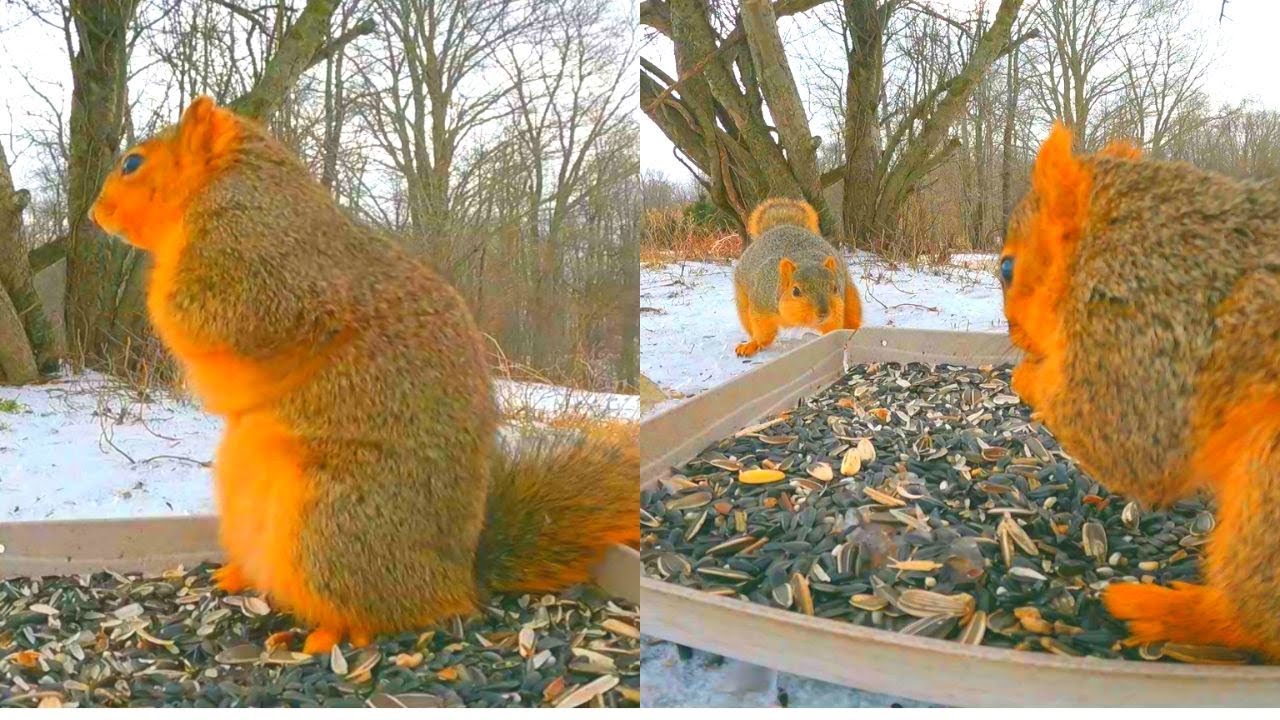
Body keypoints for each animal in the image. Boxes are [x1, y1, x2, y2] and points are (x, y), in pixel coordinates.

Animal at [89, 96, 638, 654]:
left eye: (132, 163)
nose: (94, 213)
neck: (237, 184)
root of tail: (457, 580)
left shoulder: (255, 271)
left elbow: (203, 319)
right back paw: (237, 577)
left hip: (330, 524)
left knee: (373, 611)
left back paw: (329, 633)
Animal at [732, 198, 862, 357]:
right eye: (795, 291)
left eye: (835, 288)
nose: (823, 312)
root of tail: (784, 225)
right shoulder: (762, 301)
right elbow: (763, 331)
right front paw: (754, 344)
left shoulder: (836, 310)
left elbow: (832, 326)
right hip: (743, 301)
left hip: (849, 295)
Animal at [1001, 121, 1280, 659]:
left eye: (1007, 269)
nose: (1014, 335)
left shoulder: (1142, 327)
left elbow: (1135, 451)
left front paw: (1027, 376)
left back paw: (1165, 610)